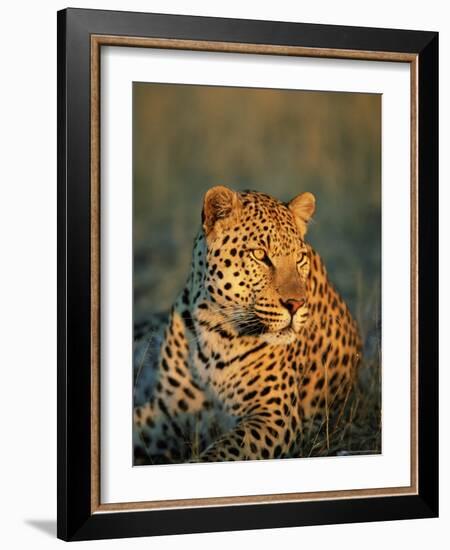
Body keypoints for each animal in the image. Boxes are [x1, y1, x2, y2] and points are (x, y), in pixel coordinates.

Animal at [133, 187, 362, 466]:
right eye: (260, 255)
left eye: (300, 258)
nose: (296, 304)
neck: (215, 327)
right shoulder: (167, 411)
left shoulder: (273, 415)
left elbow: (222, 452)